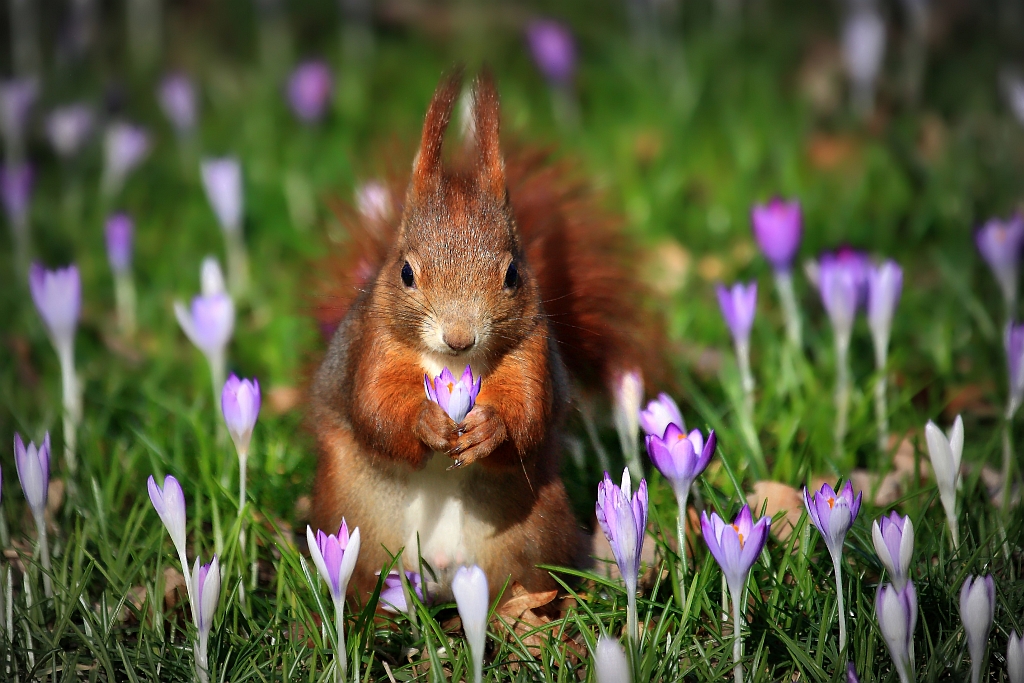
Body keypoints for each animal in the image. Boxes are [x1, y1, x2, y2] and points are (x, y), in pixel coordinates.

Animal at [307, 72, 651, 602]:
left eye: (512, 274)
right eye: (405, 272)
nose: (459, 337)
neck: (450, 365)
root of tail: (443, 572)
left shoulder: (531, 348)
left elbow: (528, 411)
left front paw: (491, 429)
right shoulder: (375, 344)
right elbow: (375, 406)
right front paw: (426, 422)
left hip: (532, 528)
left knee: (530, 584)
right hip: (353, 521)